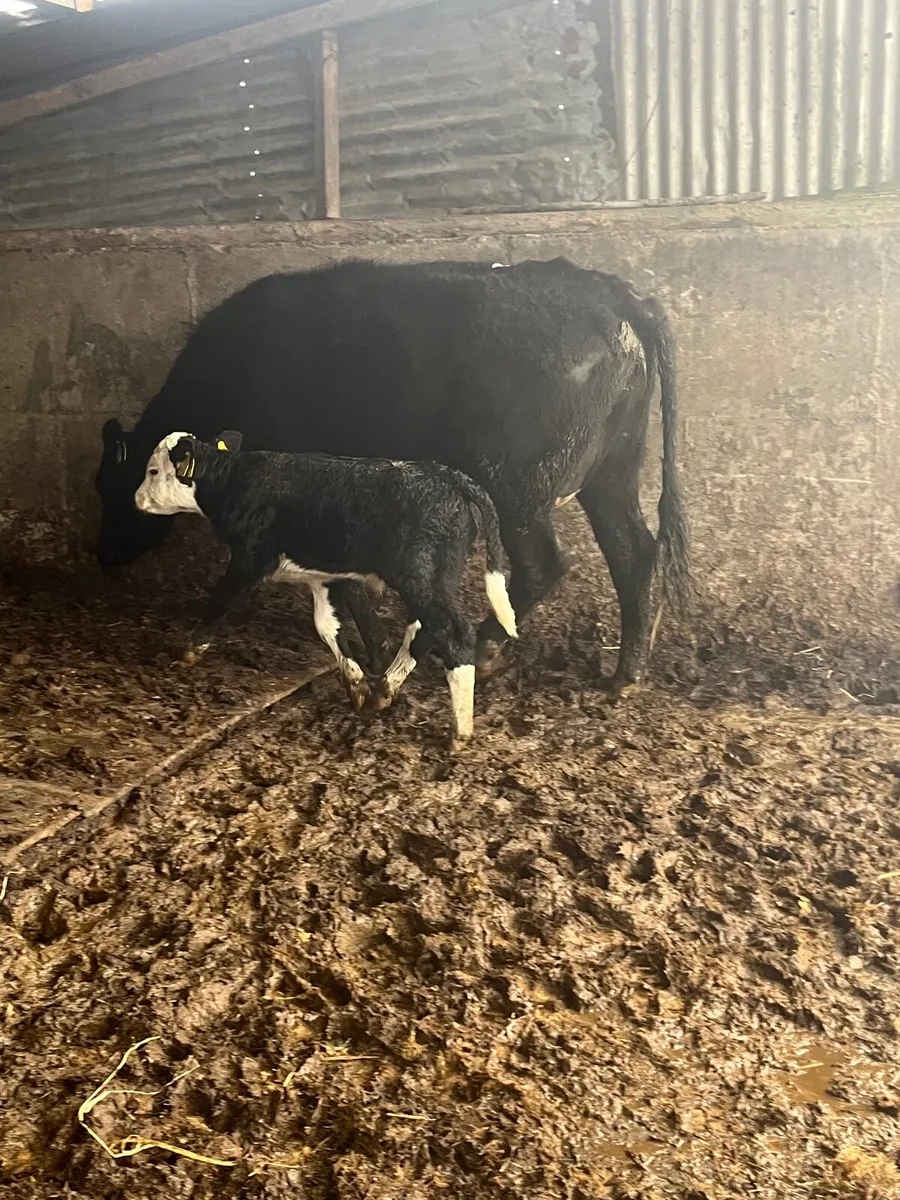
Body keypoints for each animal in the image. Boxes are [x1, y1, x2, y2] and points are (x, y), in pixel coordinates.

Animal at [96, 258, 691, 693]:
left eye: (109, 486)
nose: (101, 554)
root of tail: (611, 291)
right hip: (613, 473)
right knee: (634, 553)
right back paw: (626, 673)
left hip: (518, 490)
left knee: (545, 566)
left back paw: (484, 646)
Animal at [135, 431, 518, 742]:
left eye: (153, 471)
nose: (136, 498)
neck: (235, 481)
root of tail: (447, 475)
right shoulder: (325, 577)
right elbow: (327, 626)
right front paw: (357, 683)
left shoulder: (250, 560)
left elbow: (221, 598)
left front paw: (191, 649)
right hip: (432, 580)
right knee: (424, 630)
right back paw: (384, 689)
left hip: (422, 578)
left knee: (454, 634)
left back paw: (460, 730)